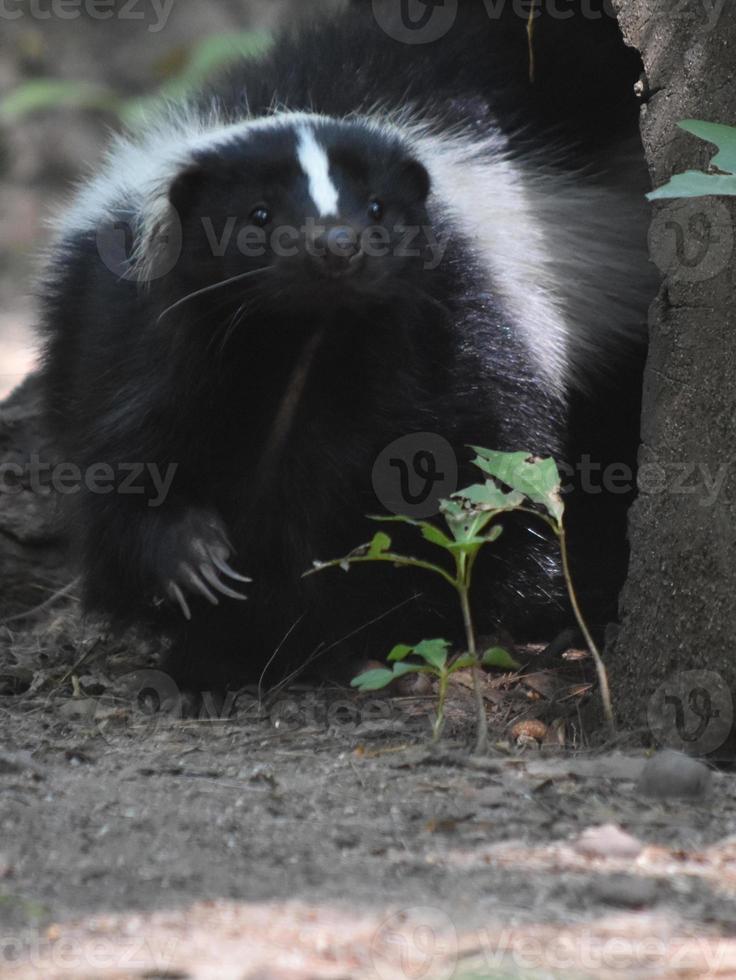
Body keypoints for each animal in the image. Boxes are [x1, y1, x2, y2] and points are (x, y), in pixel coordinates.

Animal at [40, 1, 648, 688]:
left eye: (378, 209)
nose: (336, 245)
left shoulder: (461, 332)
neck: (301, 346)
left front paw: (334, 629)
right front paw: (197, 568)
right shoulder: (132, 332)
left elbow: (472, 481)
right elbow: (127, 465)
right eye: (258, 216)